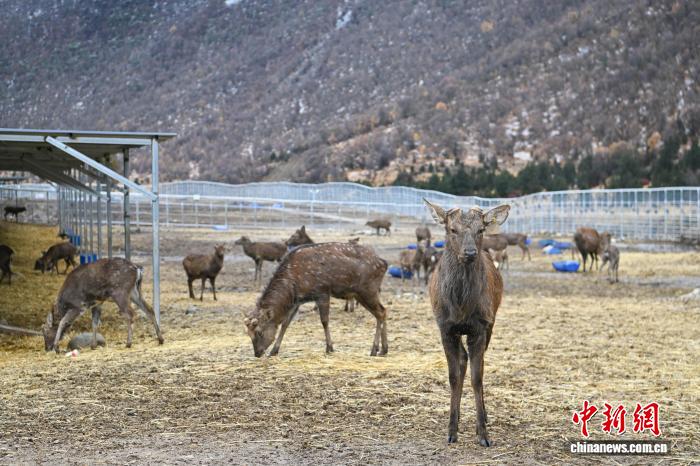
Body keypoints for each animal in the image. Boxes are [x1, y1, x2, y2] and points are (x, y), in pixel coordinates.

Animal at [244, 242, 389, 357]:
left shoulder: (322, 291)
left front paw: (329, 348)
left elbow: (324, 321)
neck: (294, 285)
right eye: (248, 333)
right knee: (383, 311)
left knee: (381, 312)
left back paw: (374, 349)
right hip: (363, 293)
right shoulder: (298, 300)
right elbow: (285, 323)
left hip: (367, 290)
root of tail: (384, 263)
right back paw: (383, 350)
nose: (257, 353)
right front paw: (274, 351)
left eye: (259, 332)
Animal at [424, 199, 510, 447]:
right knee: (462, 360)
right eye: (452, 229)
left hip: (491, 324)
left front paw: (483, 434)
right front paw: (451, 431)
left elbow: (476, 376)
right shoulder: (445, 328)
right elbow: (453, 376)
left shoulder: (480, 327)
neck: (461, 307)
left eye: (480, 229)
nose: (470, 252)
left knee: (476, 363)